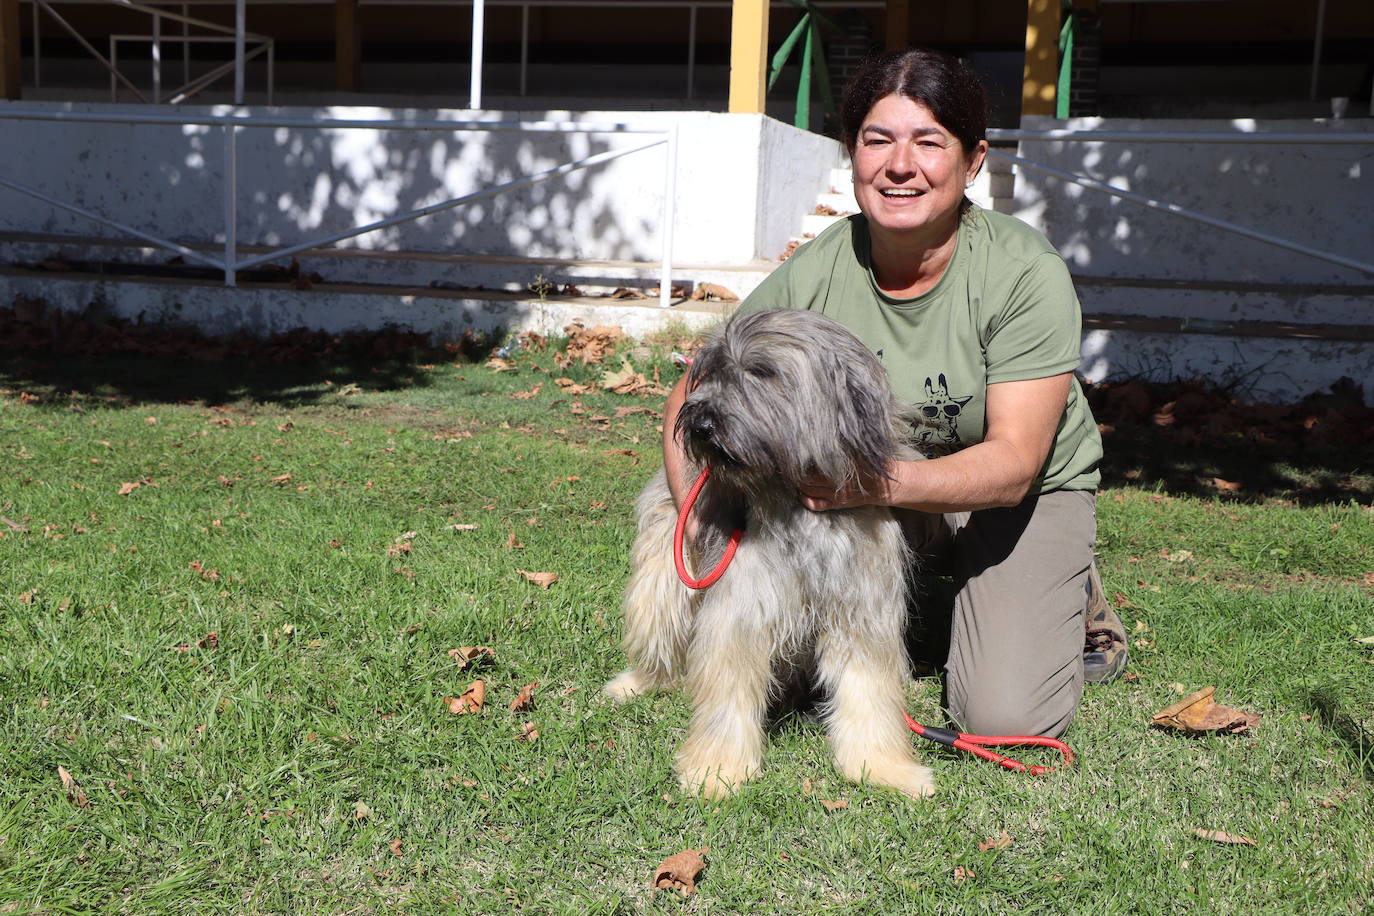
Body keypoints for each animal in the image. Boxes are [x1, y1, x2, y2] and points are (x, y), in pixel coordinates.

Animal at [604, 310, 939, 802]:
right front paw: (717, 771)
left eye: (762, 373)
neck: (793, 504)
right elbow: (727, 695)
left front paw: (884, 768)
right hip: (666, 572)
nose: (699, 424)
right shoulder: (740, 610)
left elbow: (869, 694)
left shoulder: (862, 614)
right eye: (715, 372)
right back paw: (635, 683)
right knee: (658, 632)